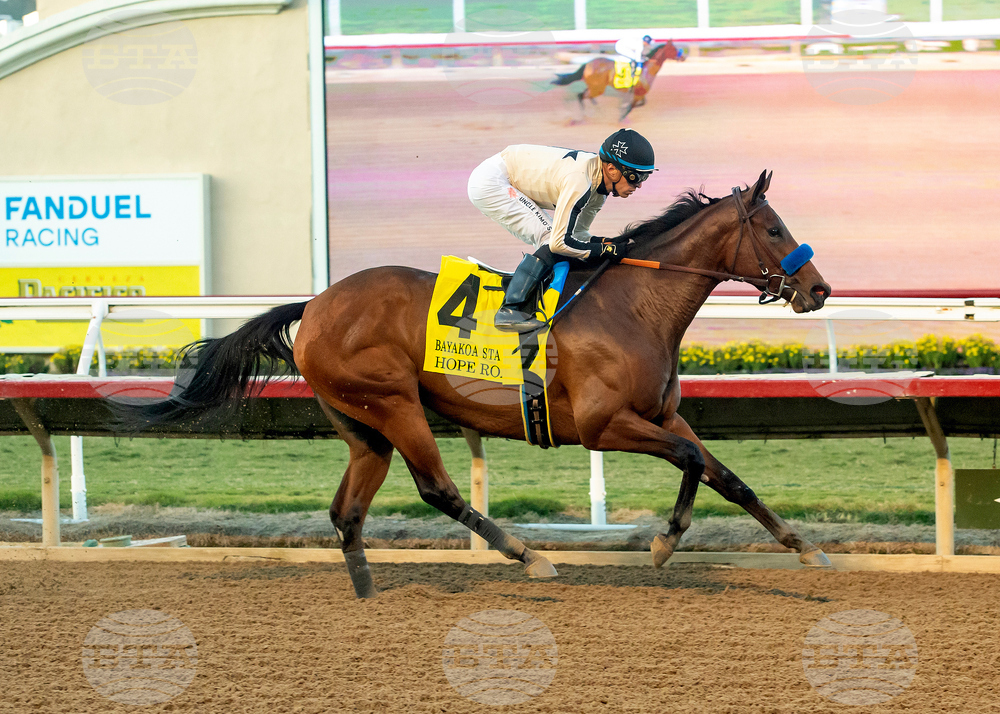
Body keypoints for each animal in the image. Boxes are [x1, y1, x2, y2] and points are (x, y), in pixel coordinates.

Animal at [120, 170, 832, 599]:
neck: (634, 306)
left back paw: (368, 595)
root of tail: (316, 304)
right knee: (436, 488)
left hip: (361, 425)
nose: (818, 288)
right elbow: (689, 462)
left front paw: (802, 547)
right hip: (395, 403)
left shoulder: (662, 415)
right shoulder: (605, 426)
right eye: (774, 228)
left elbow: (725, 476)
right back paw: (528, 555)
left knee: (346, 511)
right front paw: (663, 543)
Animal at [552, 41, 685, 120]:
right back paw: (584, 116)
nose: (683, 57)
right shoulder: (638, 93)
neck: (647, 69)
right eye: (673, 49)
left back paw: (597, 112)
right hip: (598, 88)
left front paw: (622, 109)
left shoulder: (640, 93)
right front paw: (621, 117)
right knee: (581, 95)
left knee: (586, 96)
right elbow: (631, 107)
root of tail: (588, 64)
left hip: (595, 87)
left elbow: (640, 104)